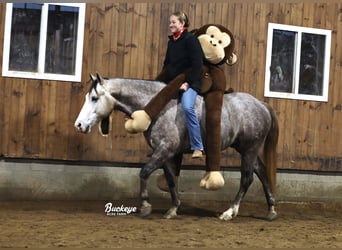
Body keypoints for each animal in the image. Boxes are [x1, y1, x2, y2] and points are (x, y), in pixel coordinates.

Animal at [74, 73, 278, 221]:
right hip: (248, 150)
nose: (79, 125)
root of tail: (261, 104)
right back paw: (271, 210)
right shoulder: (166, 154)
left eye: (94, 98)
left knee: (247, 178)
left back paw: (229, 212)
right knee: (261, 172)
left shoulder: (165, 149)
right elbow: (171, 179)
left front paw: (146, 206)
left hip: (250, 149)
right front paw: (173, 208)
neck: (157, 108)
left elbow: (144, 172)